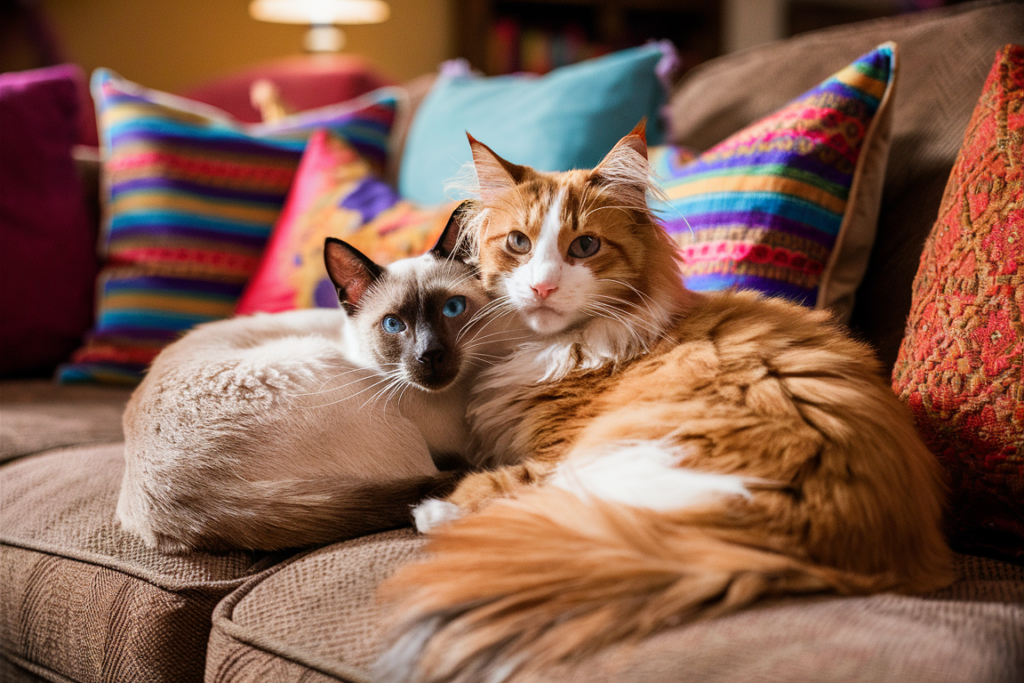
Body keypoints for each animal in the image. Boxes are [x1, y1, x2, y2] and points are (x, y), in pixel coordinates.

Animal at [374, 122, 950, 683]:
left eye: (584, 247)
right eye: (518, 243)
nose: (541, 288)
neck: (546, 345)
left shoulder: (553, 453)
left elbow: (507, 481)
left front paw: (441, 505)